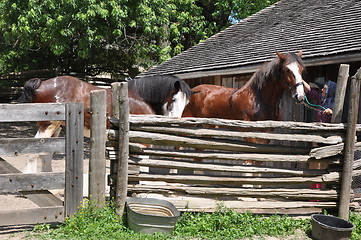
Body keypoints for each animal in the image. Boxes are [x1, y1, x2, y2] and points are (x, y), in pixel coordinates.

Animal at [16, 75, 191, 172]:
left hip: (56, 128)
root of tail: (42, 84)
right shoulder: (142, 144)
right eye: (174, 99)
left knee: (45, 154)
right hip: (47, 125)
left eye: (186, 104)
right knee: (33, 153)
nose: (176, 123)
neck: (140, 99)